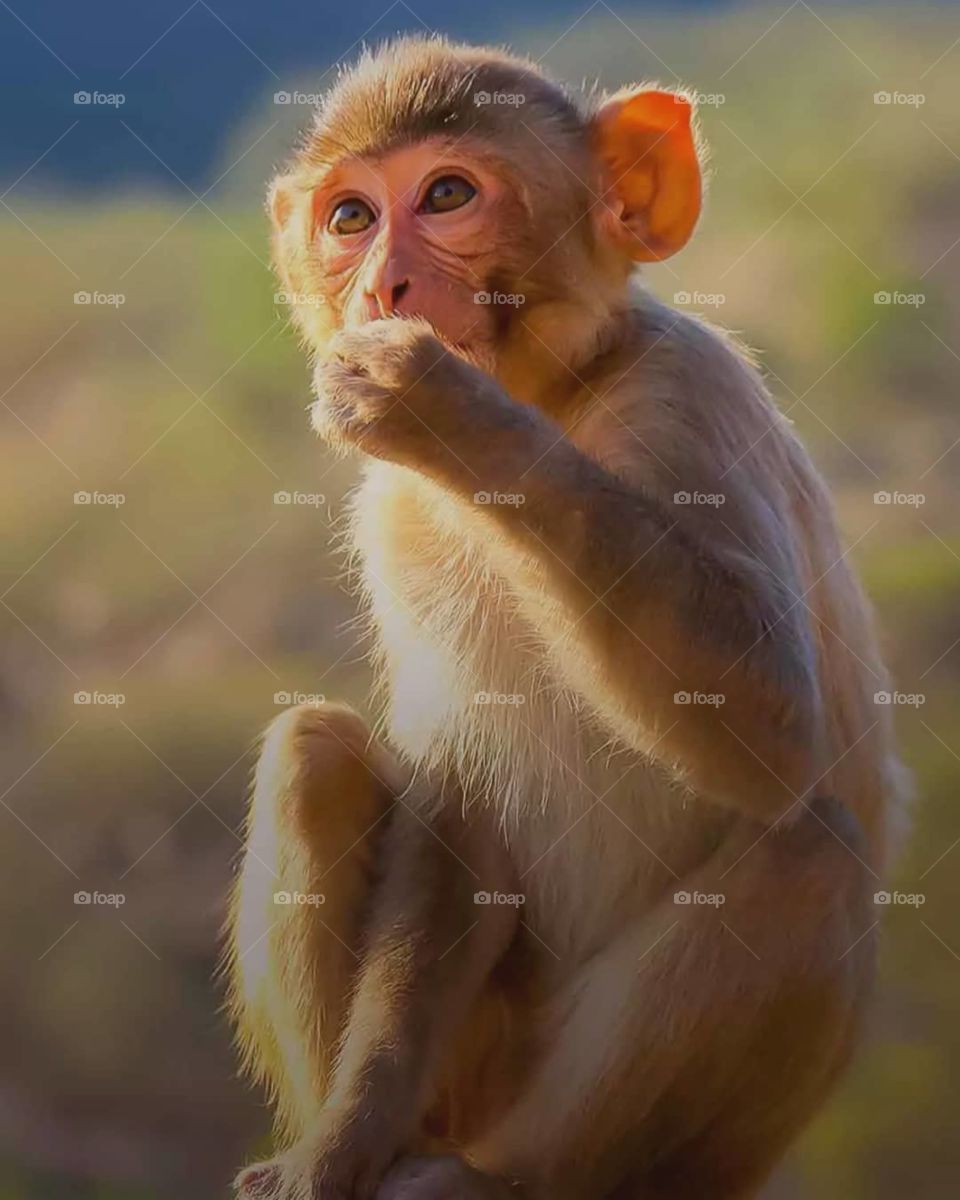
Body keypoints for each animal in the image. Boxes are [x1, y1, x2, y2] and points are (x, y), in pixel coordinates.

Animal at [225, 35, 909, 1200]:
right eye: (350, 217)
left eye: (448, 195)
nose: (381, 285)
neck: (559, 394)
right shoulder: (397, 522)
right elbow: (456, 812)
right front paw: (342, 1142)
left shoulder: (688, 397)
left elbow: (768, 719)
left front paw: (444, 410)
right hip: (471, 1071)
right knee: (312, 750)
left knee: (808, 849)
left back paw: (503, 1182)